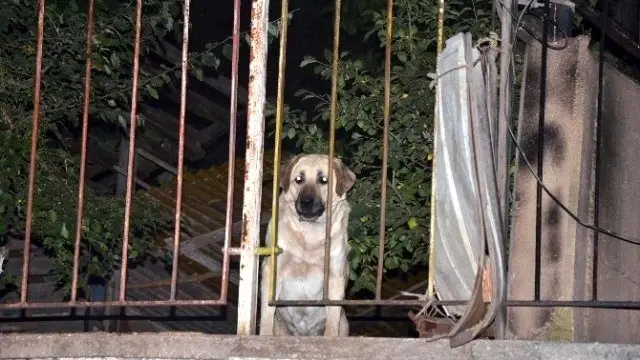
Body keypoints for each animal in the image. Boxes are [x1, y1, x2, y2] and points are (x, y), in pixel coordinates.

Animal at [260, 153, 360, 336]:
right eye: (299, 179)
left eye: (324, 180)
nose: (306, 202)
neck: (310, 234)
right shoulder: (272, 270)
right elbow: (266, 315)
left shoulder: (335, 277)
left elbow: (332, 321)